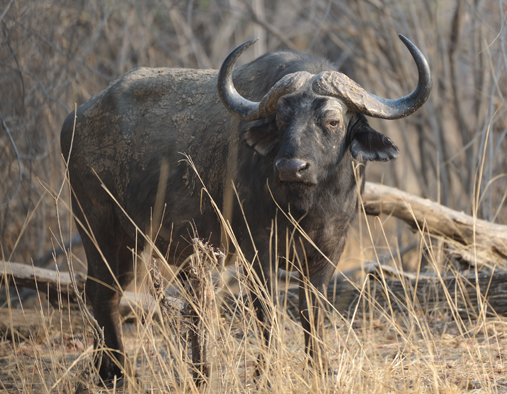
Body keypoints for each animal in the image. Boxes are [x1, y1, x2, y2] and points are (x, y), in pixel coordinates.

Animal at [60, 34, 432, 384]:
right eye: (281, 119)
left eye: (332, 121)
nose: (291, 167)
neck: (304, 206)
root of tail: (76, 119)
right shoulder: (256, 249)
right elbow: (267, 310)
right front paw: (265, 373)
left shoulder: (330, 247)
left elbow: (312, 310)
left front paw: (321, 369)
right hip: (101, 229)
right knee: (102, 292)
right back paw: (117, 372)